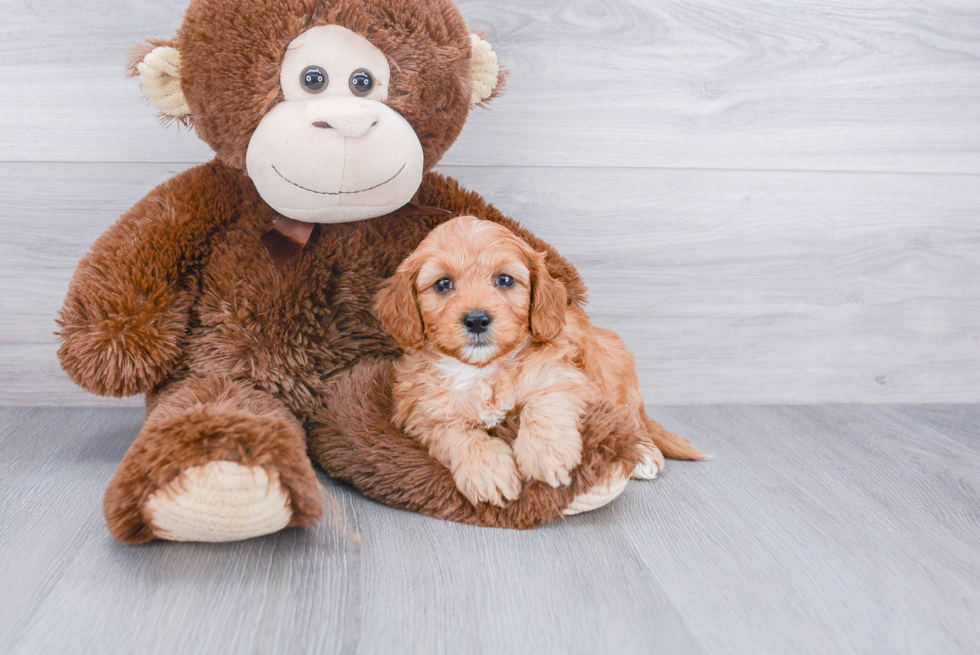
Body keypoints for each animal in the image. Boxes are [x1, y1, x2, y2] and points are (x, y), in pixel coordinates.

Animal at [372, 215, 700, 508]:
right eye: (442, 284)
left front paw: (546, 454)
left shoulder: (561, 374)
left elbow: (546, 403)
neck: (484, 369)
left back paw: (644, 454)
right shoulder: (425, 413)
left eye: (504, 279)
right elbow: (458, 435)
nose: (477, 320)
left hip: (615, 368)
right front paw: (488, 472)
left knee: (633, 420)